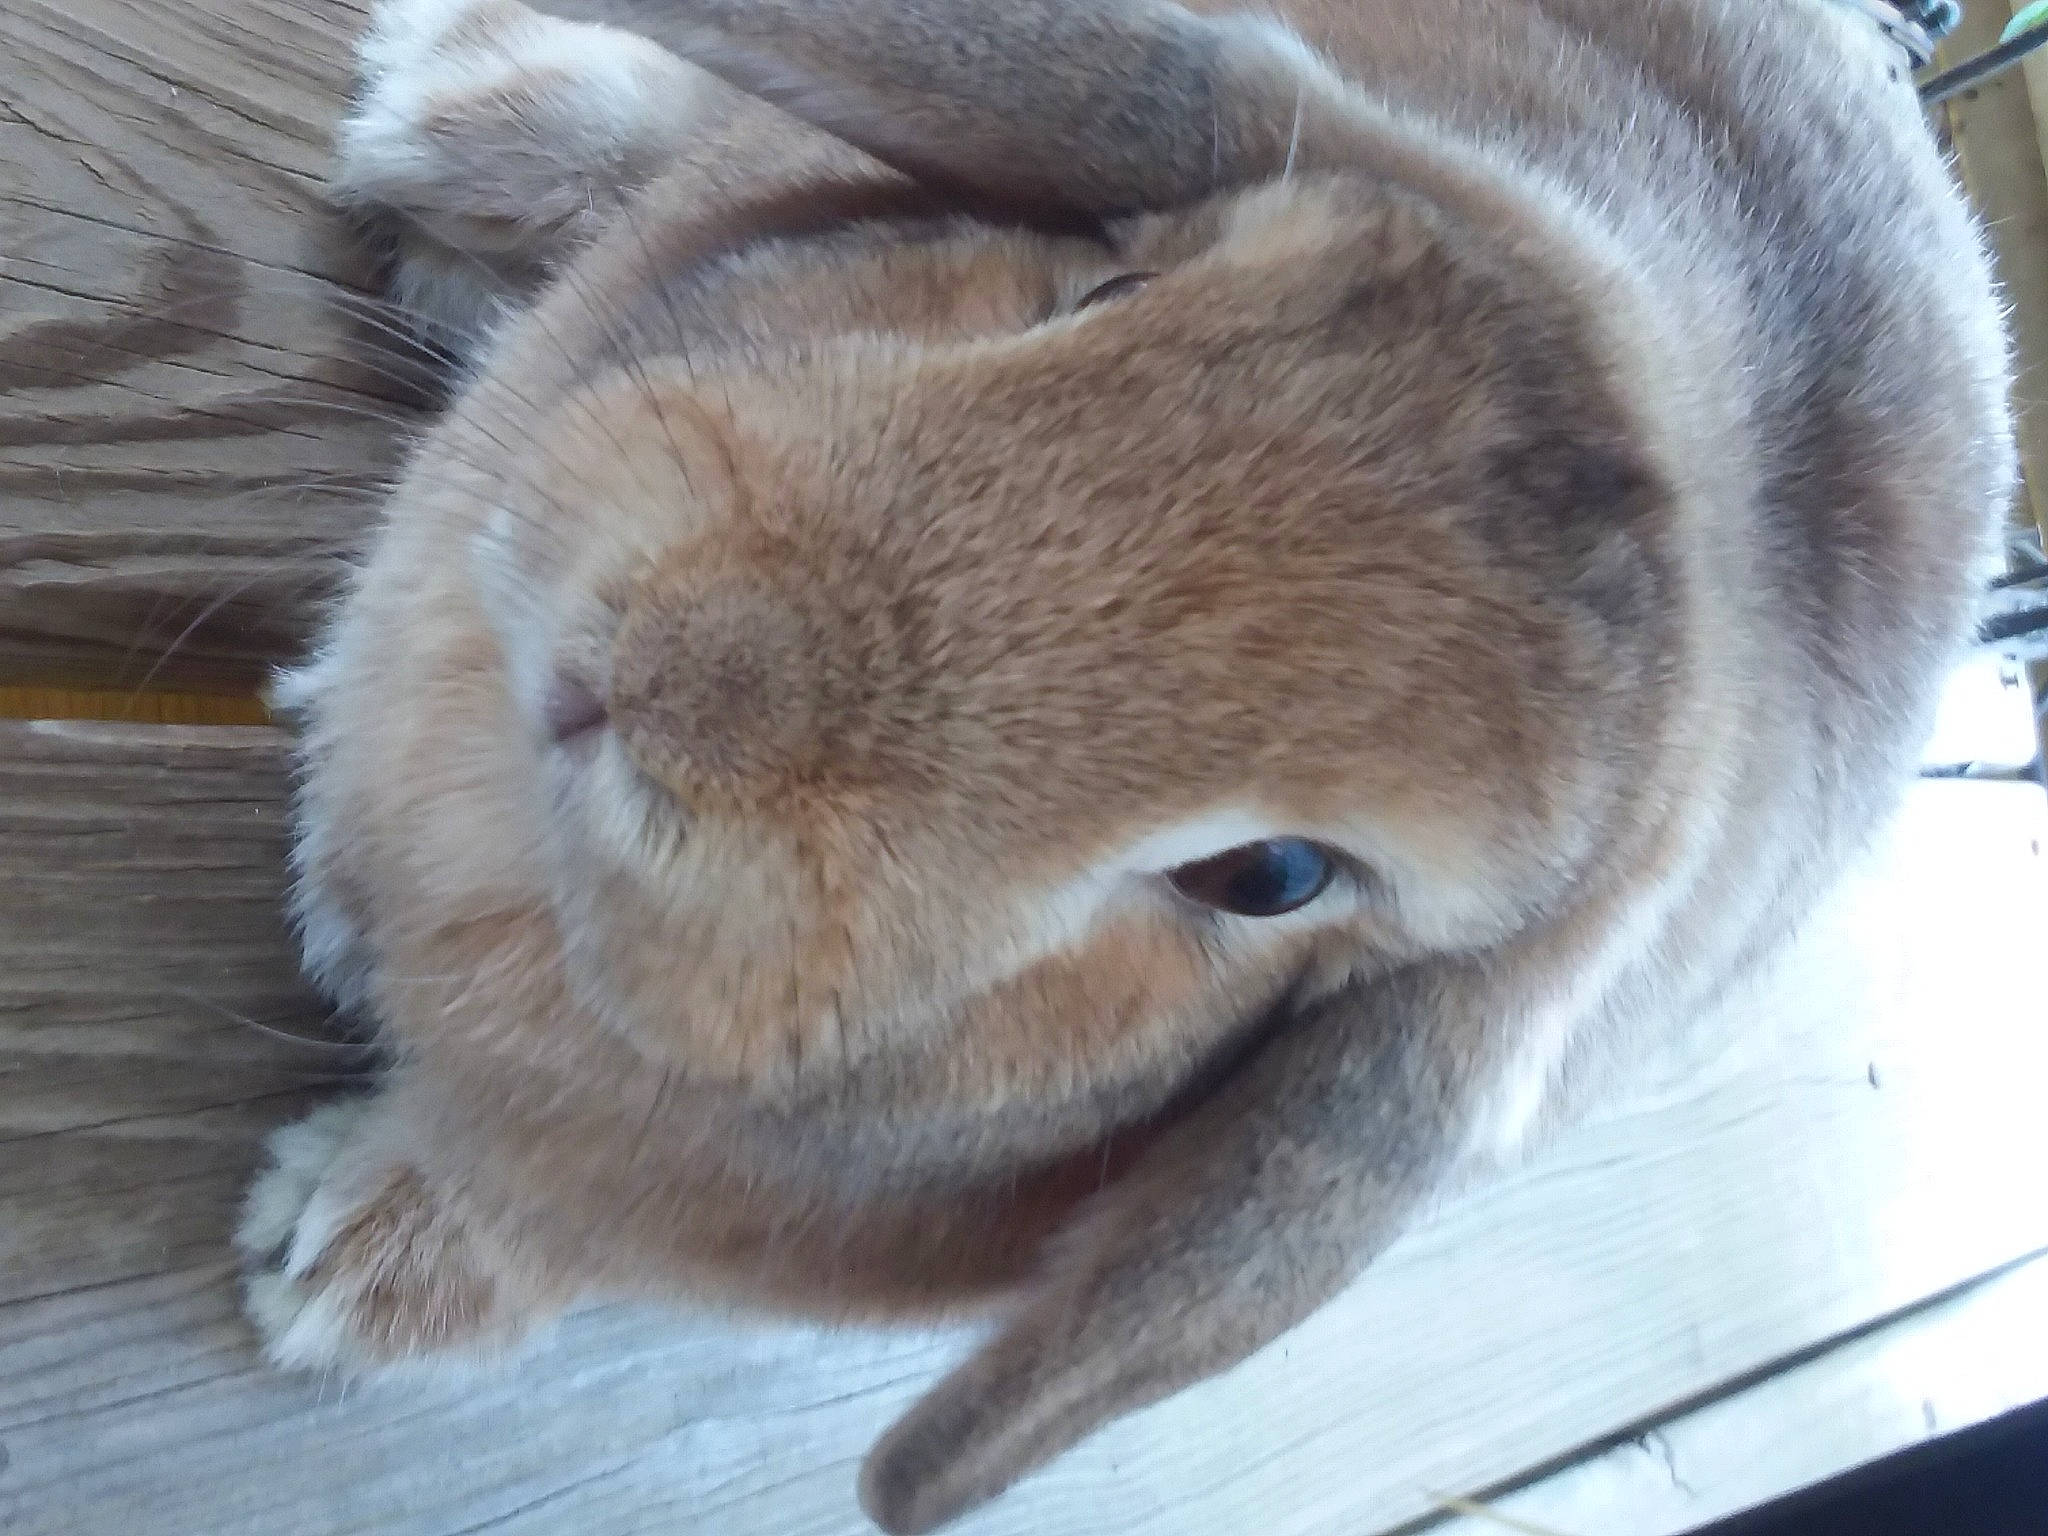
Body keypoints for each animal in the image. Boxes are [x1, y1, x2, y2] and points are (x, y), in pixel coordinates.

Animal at [238, 1, 2016, 1531]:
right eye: (1105, 299)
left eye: (1272, 877)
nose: (664, 674)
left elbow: (538, 1215)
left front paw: (334, 1271)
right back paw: (454, 110)